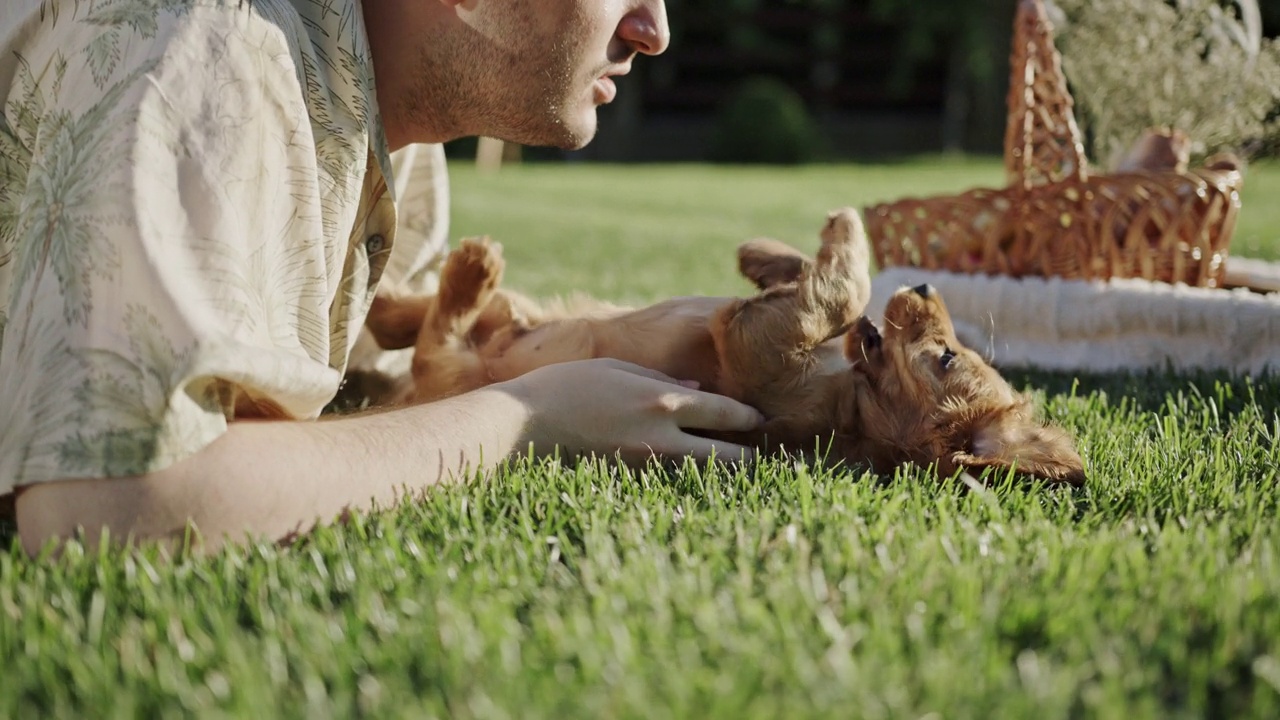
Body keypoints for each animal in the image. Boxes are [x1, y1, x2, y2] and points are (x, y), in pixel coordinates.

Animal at [366, 210, 1085, 484]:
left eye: (947, 358)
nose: (926, 285)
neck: (851, 391)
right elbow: (827, 289)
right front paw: (763, 254)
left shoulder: (756, 349)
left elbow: (841, 293)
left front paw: (846, 228)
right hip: (517, 317)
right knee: (423, 320)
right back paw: (397, 299)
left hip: (460, 364)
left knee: (437, 335)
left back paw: (470, 267)